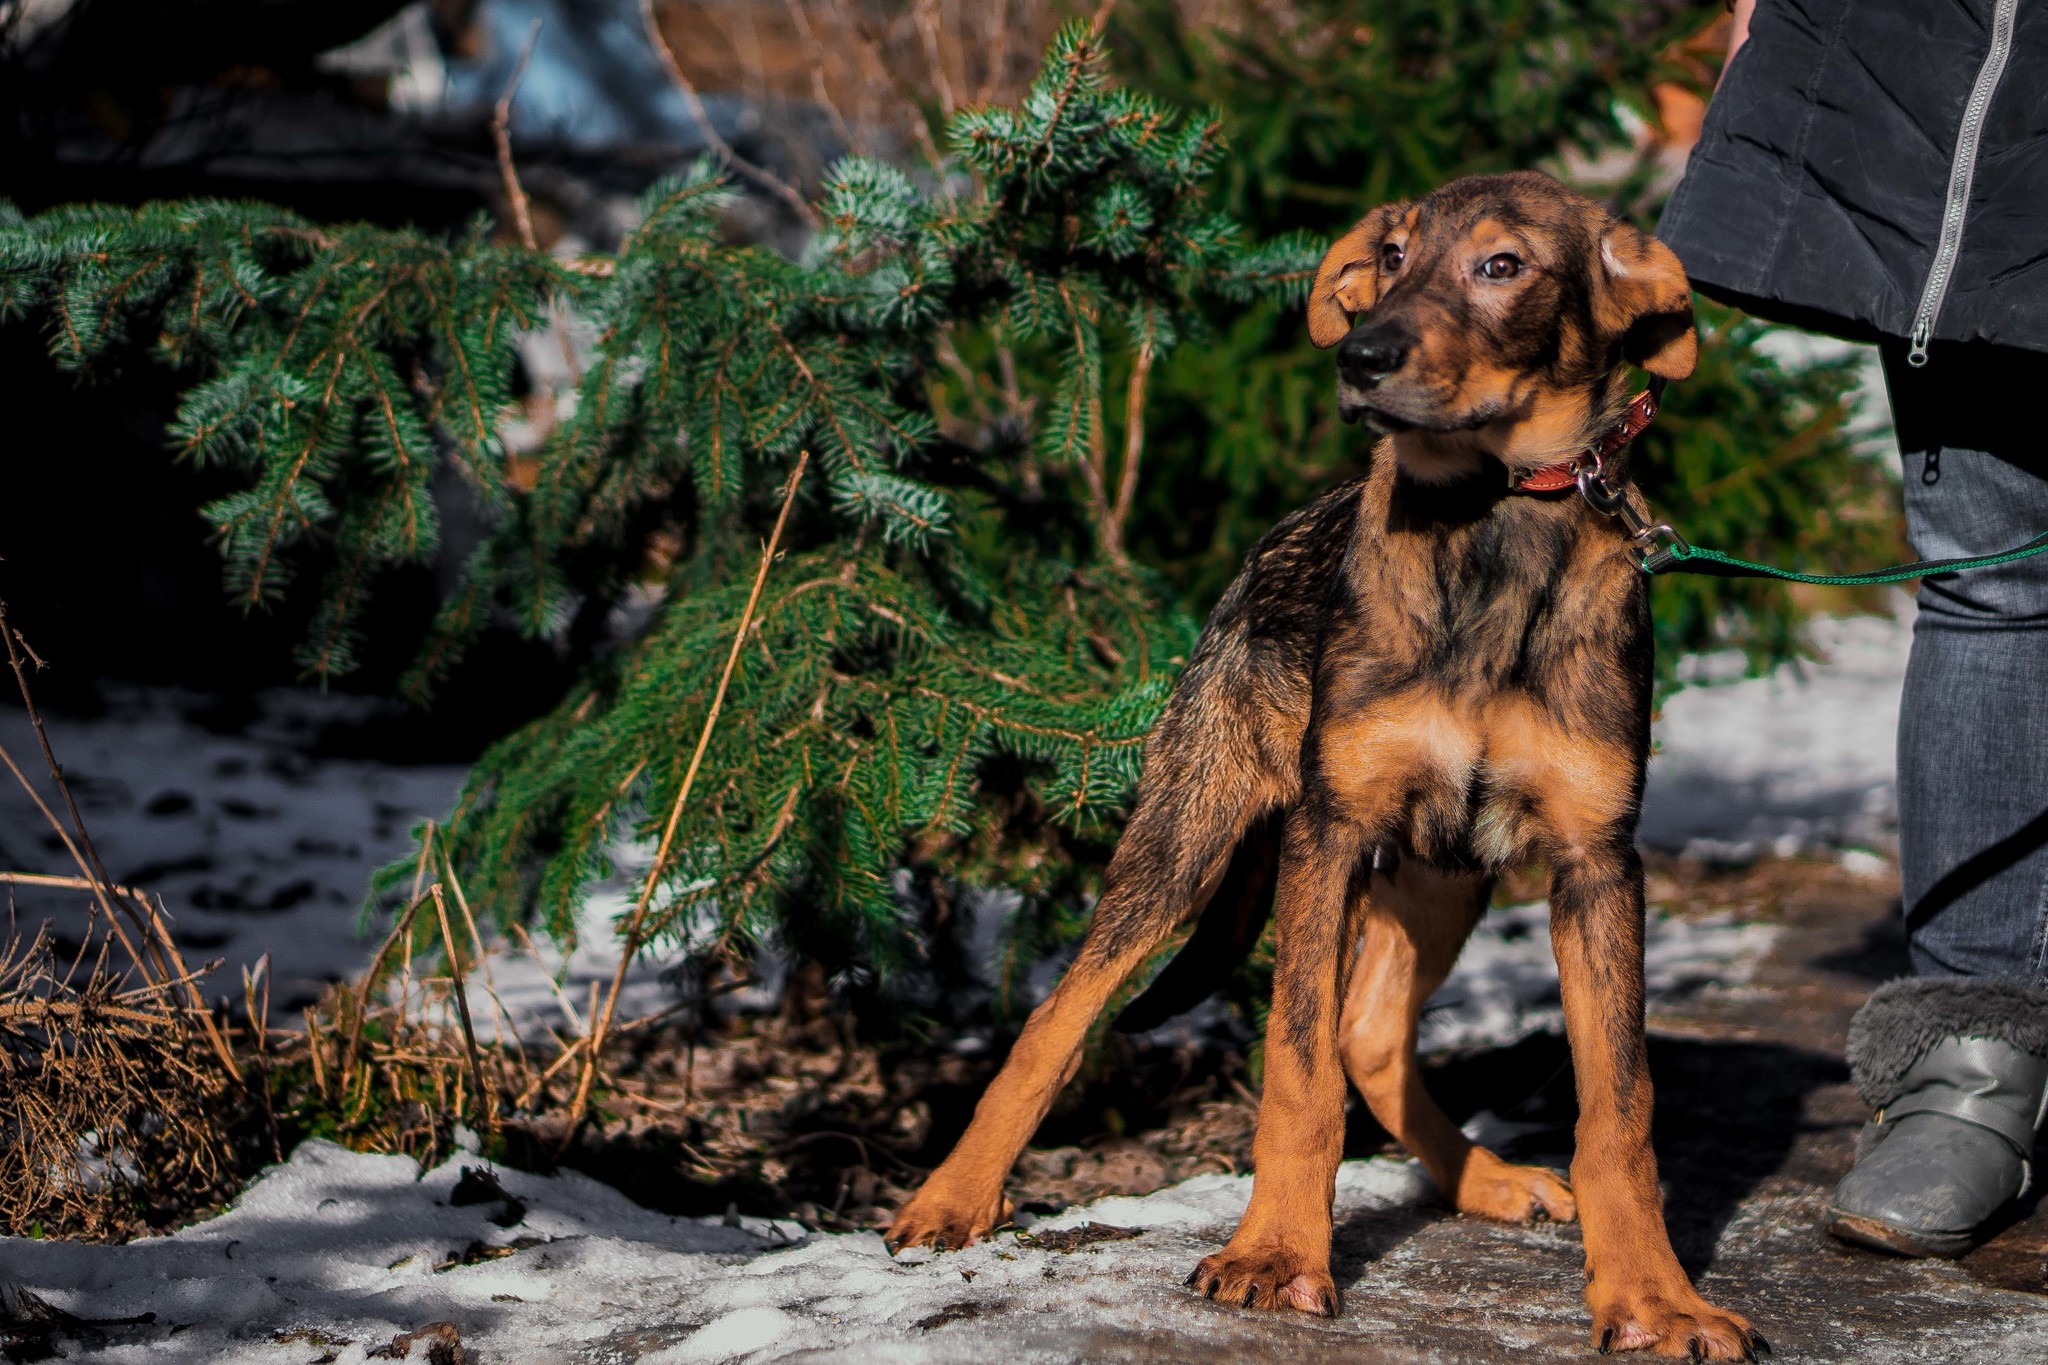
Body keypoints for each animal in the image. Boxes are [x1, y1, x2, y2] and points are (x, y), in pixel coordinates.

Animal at [888, 175, 1769, 1358]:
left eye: (1502, 265)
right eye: (1389, 256)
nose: (1360, 354)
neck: (1489, 528)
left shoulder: (1596, 860)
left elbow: (1618, 1108)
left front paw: (1652, 1299)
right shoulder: (1328, 830)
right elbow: (1294, 1067)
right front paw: (1274, 1257)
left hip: (1445, 875)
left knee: (1372, 1033)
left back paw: (1484, 1179)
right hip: (1190, 835)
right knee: (1062, 1014)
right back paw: (953, 1198)